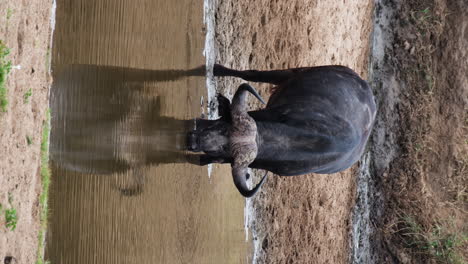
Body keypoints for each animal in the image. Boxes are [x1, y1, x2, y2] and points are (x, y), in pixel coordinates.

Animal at [186, 63, 376, 196]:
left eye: (225, 146)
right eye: (224, 128)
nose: (193, 140)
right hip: (294, 72)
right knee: (252, 73)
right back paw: (217, 69)